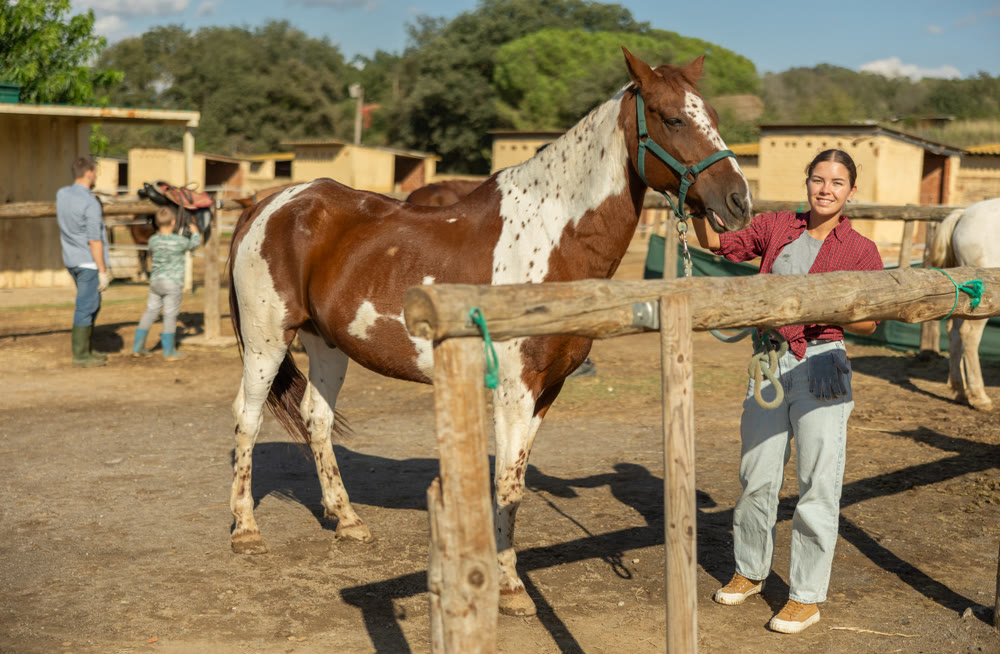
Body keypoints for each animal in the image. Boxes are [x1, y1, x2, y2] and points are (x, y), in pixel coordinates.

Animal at [226, 47, 753, 617]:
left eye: (714, 117)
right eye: (671, 117)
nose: (738, 201)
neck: (552, 239)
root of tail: (267, 205)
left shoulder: (547, 390)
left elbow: (513, 478)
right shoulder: (514, 390)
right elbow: (507, 485)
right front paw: (511, 588)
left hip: (326, 344)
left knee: (316, 418)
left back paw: (347, 520)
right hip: (266, 340)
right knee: (248, 418)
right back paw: (245, 530)